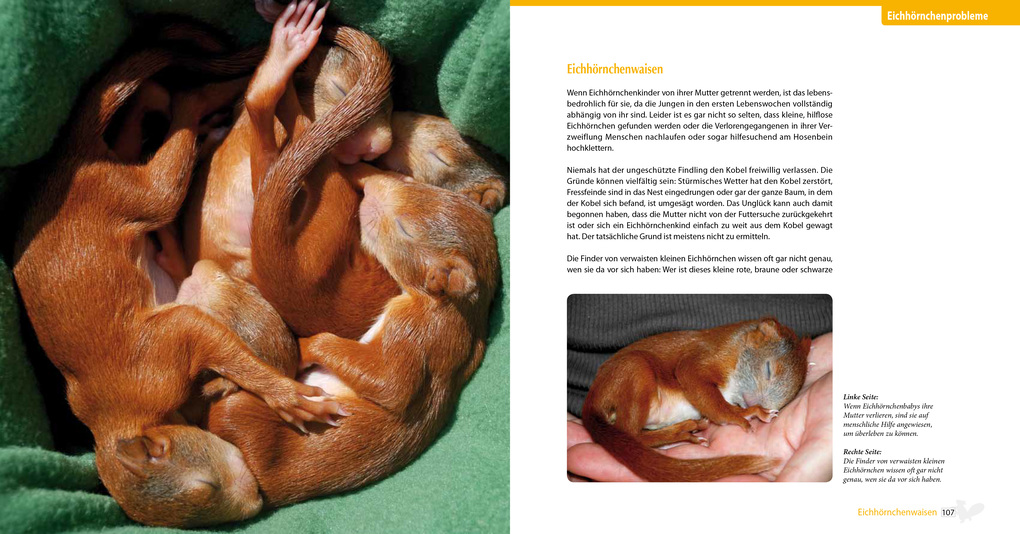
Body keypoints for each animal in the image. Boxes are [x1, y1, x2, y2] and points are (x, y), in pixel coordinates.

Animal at [581, 318, 810, 481]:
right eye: (768, 368)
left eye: (786, 400)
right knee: (629, 432)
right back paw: (682, 431)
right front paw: (742, 414)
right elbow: (697, 382)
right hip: (635, 368)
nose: (754, 403)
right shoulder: (711, 353)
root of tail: (594, 399)